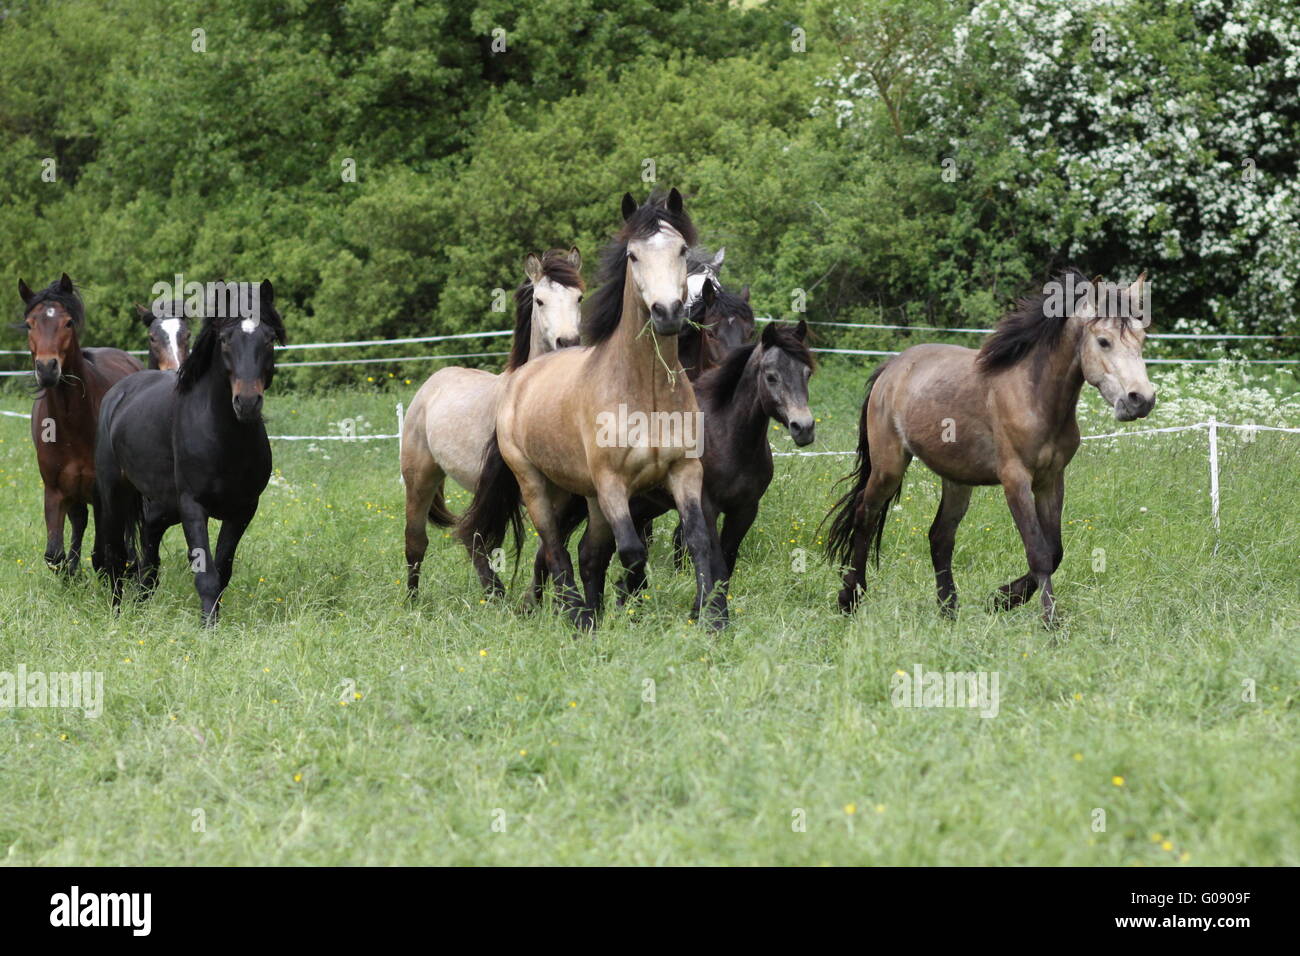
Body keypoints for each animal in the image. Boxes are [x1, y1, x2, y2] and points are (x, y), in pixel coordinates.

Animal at [16, 277, 142, 574]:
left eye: (68, 322)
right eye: (30, 324)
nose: (47, 368)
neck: (71, 425)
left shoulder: (101, 493)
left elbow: (102, 553)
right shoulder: (55, 490)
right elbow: (54, 554)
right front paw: (71, 574)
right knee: (80, 521)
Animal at [94, 280, 288, 624]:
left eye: (268, 338)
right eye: (225, 339)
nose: (247, 403)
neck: (223, 437)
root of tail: (118, 392)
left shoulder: (243, 510)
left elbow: (222, 572)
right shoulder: (192, 507)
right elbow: (206, 575)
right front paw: (208, 627)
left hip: (160, 507)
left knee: (149, 561)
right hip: (115, 495)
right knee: (116, 558)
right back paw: (117, 616)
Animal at [400, 247, 585, 598]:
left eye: (579, 297)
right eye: (540, 300)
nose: (568, 342)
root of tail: (431, 384)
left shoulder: (556, 494)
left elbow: (545, 550)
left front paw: (533, 600)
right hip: (420, 478)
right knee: (417, 542)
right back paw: (414, 601)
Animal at [457, 189, 728, 632]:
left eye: (682, 250)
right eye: (633, 255)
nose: (668, 313)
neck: (645, 395)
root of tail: (521, 378)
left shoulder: (684, 471)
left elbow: (699, 540)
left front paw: (713, 617)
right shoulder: (612, 483)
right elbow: (633, 551)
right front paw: (627, 605)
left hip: (579, 494)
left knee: (586, 551)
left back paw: (590, 610)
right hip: (538, 486)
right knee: (554, 547)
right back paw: (575, 614)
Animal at [826, 270, 1154, 629]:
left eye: (1142, 339)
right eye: (1104, 341)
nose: (1141, 399)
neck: (1036, 396)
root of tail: (892, 368)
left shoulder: (1051, 480)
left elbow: (1055, 551)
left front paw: (1000, 599)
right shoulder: (1016, 480)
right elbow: (1039, 552)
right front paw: (1049, 623)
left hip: (956, 479)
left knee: (940, 537)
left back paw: (948, 612)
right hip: (889, 467)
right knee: (865, 516)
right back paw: (850, 599)